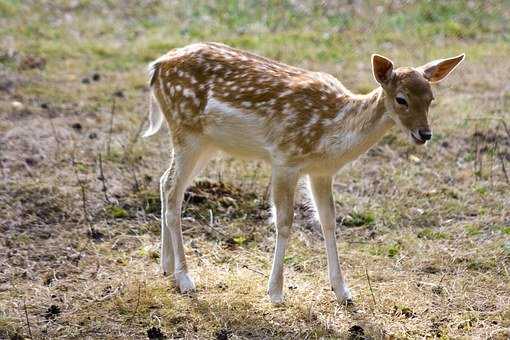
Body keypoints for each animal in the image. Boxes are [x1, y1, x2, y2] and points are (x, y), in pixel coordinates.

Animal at [142, 41, 462, 304]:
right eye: (401, 99)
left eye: (431, 98)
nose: (424, 134)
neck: (332, 135)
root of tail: (156, 66)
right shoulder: (284, 159)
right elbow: (284, 222)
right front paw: (275, 293)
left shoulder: (321, 172)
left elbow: (328, 221)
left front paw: (343, 291)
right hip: (187, 130)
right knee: (172, 189)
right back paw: (185, 278)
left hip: (206, 142)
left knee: (165, 182)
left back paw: (166, 266)